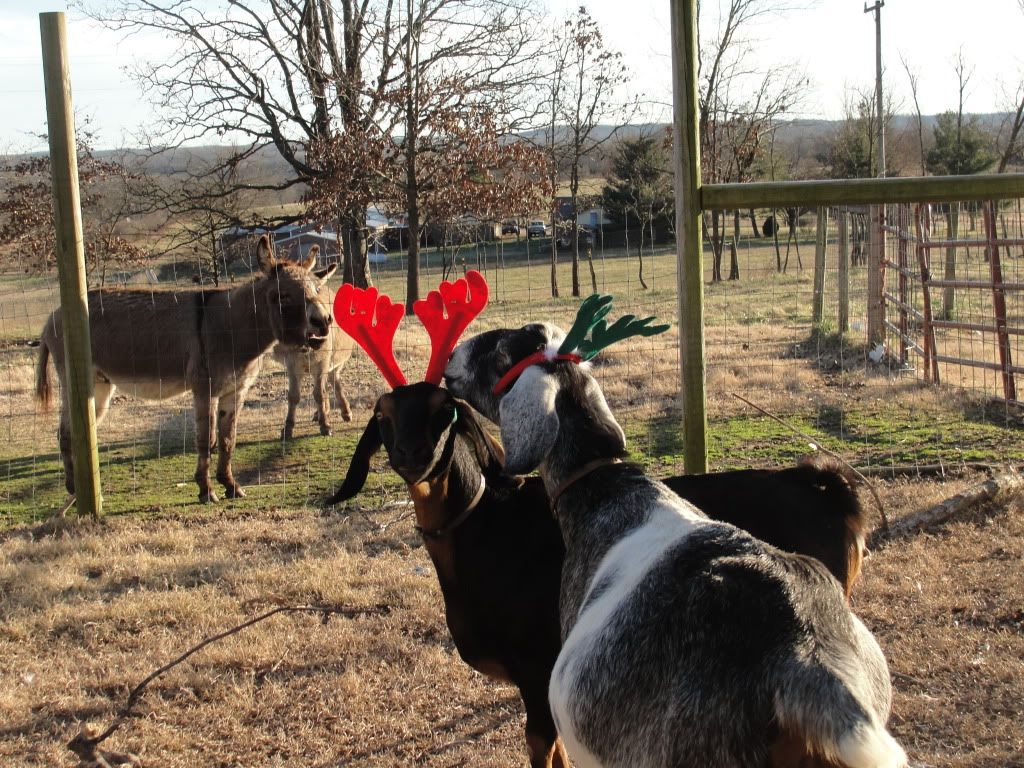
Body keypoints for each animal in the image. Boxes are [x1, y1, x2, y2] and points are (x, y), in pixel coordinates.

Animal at [36, 235, 335, 502]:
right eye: (283, 296)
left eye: (316, 290)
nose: (324, 321)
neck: (232, 328)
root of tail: (53, 315)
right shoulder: (205, 389)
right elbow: (206, 439)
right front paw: (206, 490)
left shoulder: (235, 391)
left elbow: (228, 440)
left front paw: (231, 486)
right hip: (78, 380)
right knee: (65, 432)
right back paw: (74, 488)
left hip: (100, 386)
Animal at [270, 248, 355, 439]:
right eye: (285, 296)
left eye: (316, 290)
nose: (322, 321)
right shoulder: (292, 364)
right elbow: (294, 396)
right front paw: (288, 428)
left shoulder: (322, 362)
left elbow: (319, 393)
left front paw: (325, 425)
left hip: (334, 360)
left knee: (334, 380)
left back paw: (344, 412)